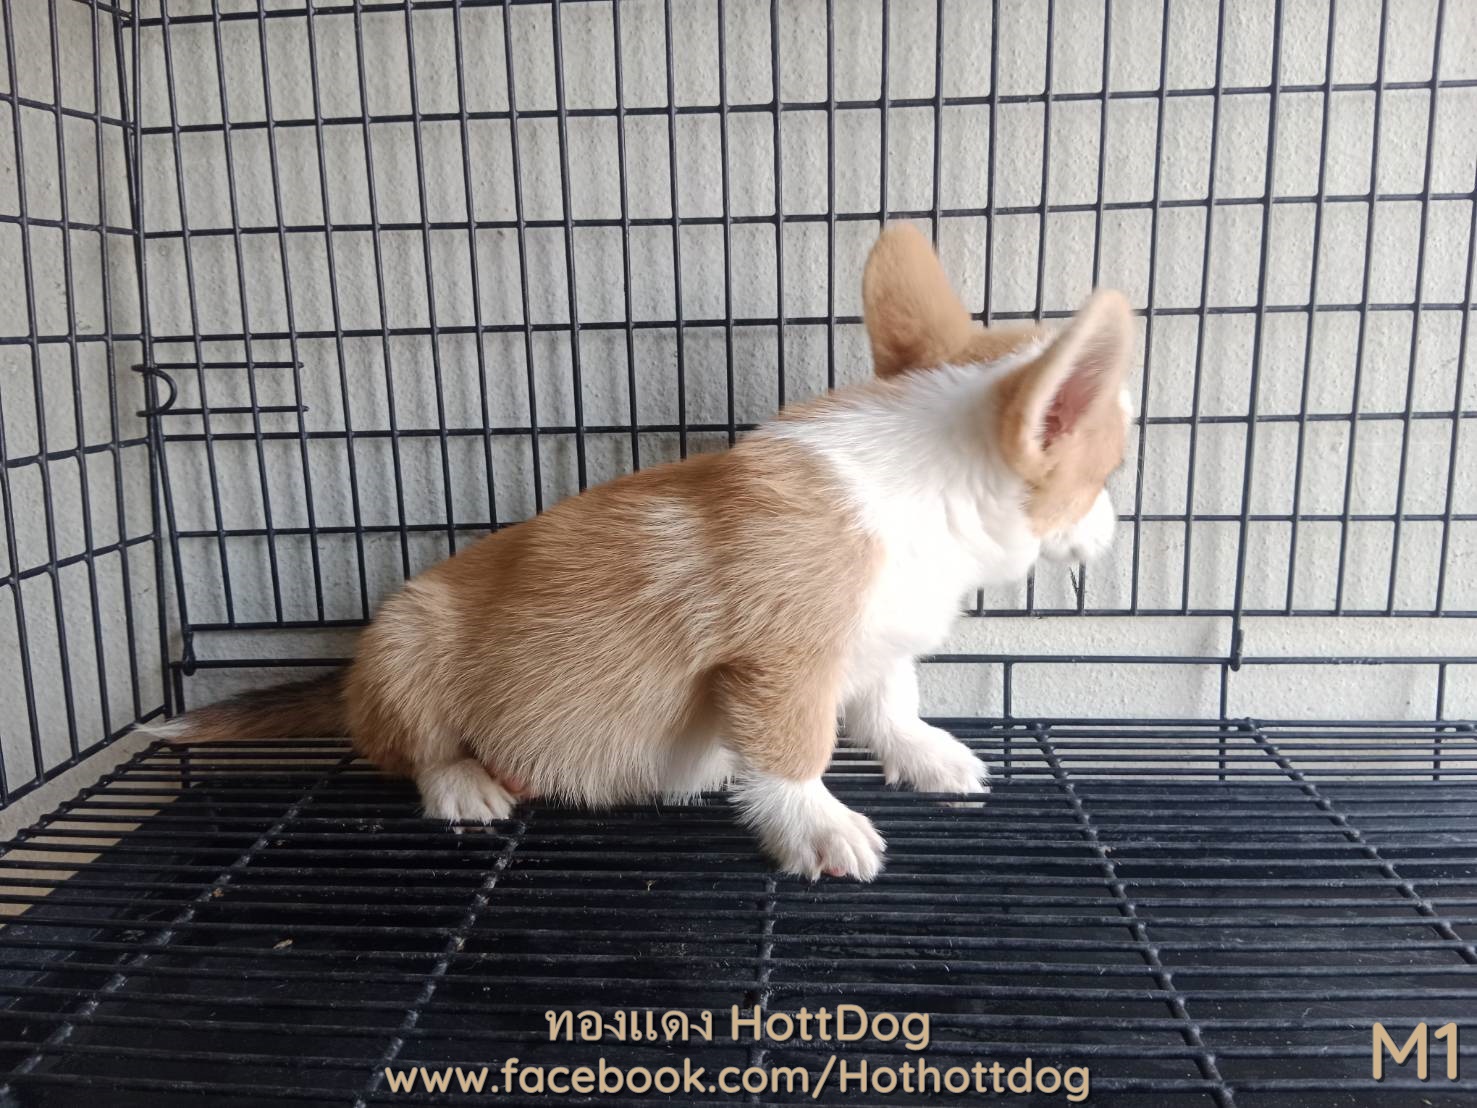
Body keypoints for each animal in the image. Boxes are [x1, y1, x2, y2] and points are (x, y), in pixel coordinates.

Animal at [148, 224, 1133, 881]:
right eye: (1108, 468)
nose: (1115, 531)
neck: (925, 482)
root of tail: (348, 681)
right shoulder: (777, 668)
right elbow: (796, 752)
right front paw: (818, 827)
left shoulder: (879, 648)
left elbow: (892, 707)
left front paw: (930, 759)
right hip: (405, 642)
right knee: (414, 753)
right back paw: (464, 785)